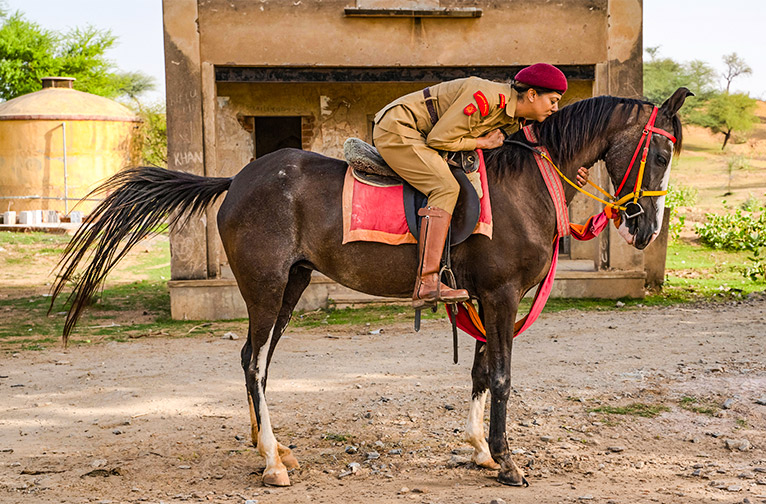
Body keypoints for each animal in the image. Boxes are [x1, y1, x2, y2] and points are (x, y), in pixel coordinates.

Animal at [51, 87, 691, 488]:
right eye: (661, 150)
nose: (645, 228)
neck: (526, 184)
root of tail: (237, 179)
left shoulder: (482, 299)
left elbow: (480, 371)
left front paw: (482, 452)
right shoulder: (502, 296)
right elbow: (503, 377)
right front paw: (507, 463)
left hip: (290, 287)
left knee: (260, 359)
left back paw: (272, 449)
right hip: (264, 288)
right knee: (253, 360)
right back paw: (271, 461)